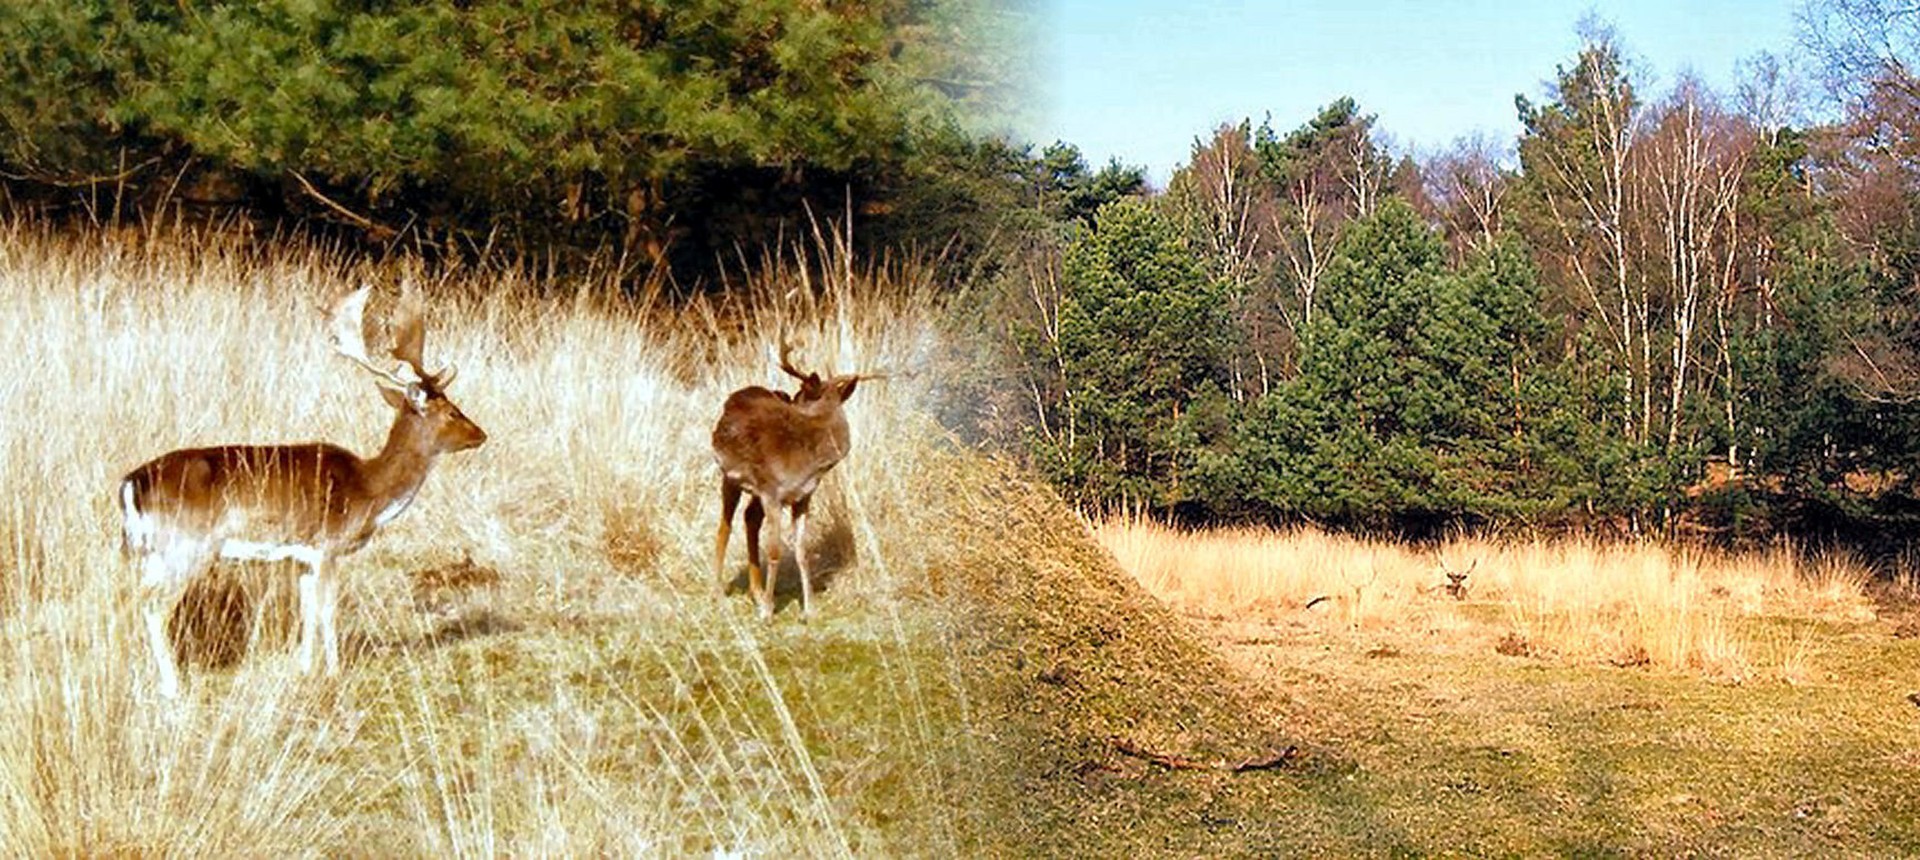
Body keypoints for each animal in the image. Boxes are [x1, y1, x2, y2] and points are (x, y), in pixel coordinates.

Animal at [117, 286, 487, 694]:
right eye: (452, 411)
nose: (481, 434)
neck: (368, 491)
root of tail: (131, 483)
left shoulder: (303, 556)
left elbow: (307, 610)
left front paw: (305, 667)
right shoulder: (328, 544)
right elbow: (327, 610)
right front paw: (335, 672)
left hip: (151, 550)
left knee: (132, 600)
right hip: (187, 545)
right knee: (153, 604)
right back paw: (171, 686)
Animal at [714, 341, 879, 618]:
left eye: (800, 393)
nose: (790, 398)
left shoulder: (803, 496)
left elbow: (802, 551)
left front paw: (809, 609)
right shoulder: (772, 492)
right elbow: (775, 551)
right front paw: (768, 613)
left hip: (755, 491)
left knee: (750, 518)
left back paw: (757, 592)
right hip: (730, 477)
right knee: (724, 527)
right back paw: (716, 591)